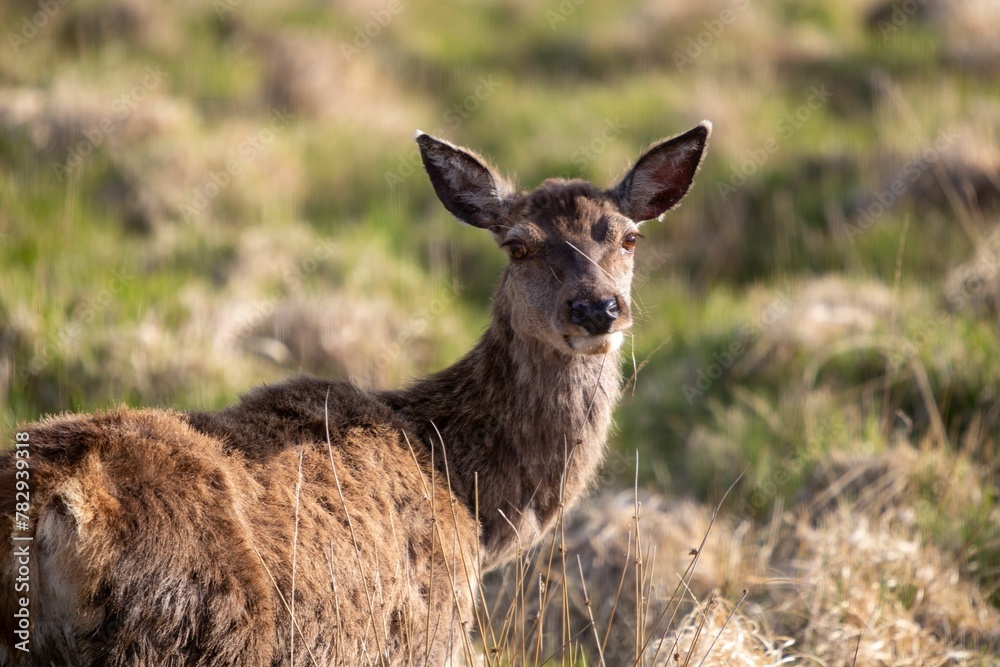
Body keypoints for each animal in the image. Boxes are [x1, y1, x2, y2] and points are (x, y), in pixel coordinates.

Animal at [0, 121, 710, 666]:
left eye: (628, 237)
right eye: (517, 245)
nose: (597, 309)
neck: (468, 499)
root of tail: (53, 513)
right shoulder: (424, 635)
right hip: (191, 630)